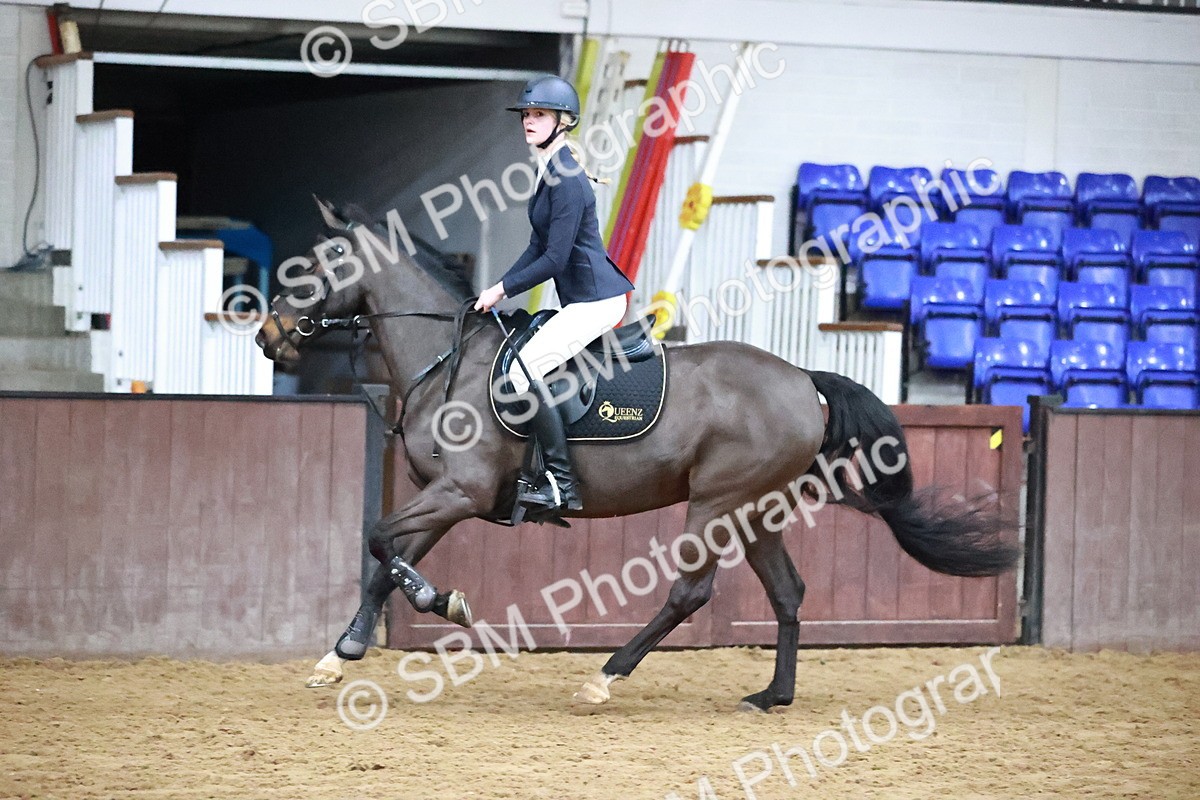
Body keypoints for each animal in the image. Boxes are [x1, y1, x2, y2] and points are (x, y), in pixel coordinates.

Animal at [255, 198, 1017, 712]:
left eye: (320, 265)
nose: (268, 336)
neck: (449, 362)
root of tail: (803, 379)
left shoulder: (461, 493)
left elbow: (379, 539)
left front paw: (442, 603)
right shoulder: (447, 497)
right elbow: (385, 558)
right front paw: (342, 653)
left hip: (716, 503)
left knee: (691, 593)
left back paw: (605, 677)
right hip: (757, 510)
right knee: (788, 593)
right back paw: (772, 695)